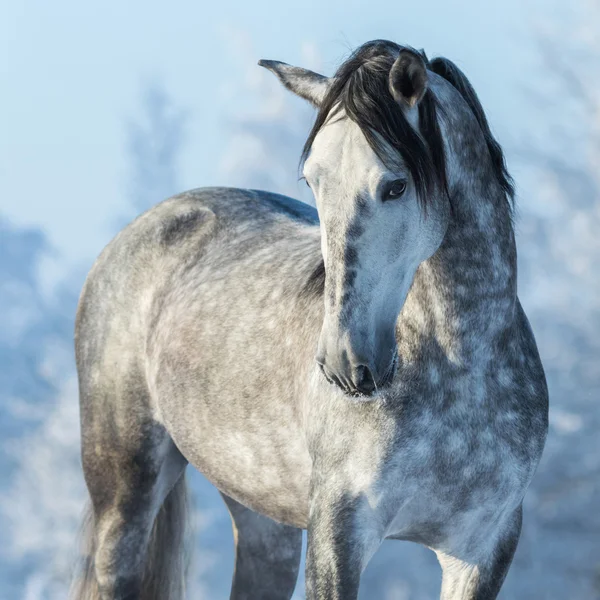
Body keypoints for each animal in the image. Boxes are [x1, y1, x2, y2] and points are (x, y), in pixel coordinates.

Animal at [71, 41, 548, 600]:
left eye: (396, 186)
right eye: (313, 181)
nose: (346, 361)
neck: (461, 373)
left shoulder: (482, 548)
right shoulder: (338, 531)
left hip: (264, 519)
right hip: (124, 493)